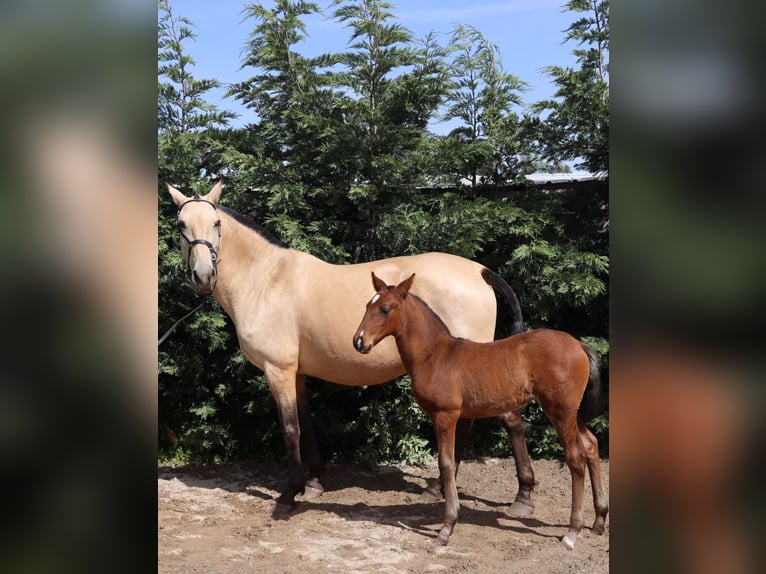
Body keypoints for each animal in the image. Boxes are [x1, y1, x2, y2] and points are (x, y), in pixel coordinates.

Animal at [168, 183, 536, 516]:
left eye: (216, 223)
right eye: (181, 224)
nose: (204, 276)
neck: (267, 280)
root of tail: (479, 270)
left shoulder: (278, 370)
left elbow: (290, 428)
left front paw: (290, 493)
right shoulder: (296, 372)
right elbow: (305, 420)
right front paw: (314, 482)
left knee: (510, 418)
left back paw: (522, 496)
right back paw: (440, 487)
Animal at [354, 274, 612, 548]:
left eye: (385, 309)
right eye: (367, 305)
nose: (359, 341)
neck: (434, 354)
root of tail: (580, 346)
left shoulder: (445, 416)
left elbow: (446, 463)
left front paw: (446, 528)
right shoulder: (461, 417)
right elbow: (453, 462)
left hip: (560, 411)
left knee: (576, 457)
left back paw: (573, 531)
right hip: (572, 413)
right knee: (591, 444)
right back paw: (598, 521)